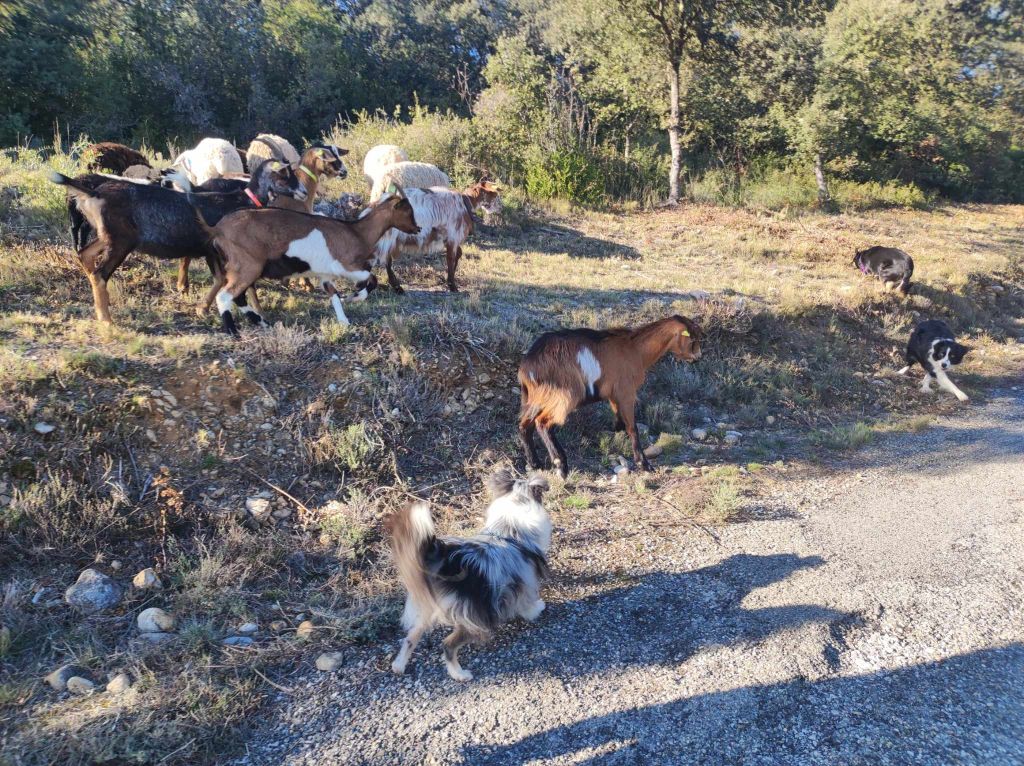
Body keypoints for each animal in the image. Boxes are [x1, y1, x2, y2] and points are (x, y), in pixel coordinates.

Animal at [195, 191, 419, 335]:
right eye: (408, 212)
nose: (418, 228)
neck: (357, 232)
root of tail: (218, 228)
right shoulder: (346, 266)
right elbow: (371, 279)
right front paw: (354, 297)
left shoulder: (326, 275)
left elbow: (333, 296)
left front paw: (344, 321)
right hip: (247, 266)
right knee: (226, 295)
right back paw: (232, 331)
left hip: (241, 267)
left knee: (238, 296)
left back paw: (261, 322)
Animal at [520, 313, 704, 475]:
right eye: (693, 340)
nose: (698, 358)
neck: (636, 349)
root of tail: (528, 365)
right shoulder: (626, 392)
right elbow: (632, 427)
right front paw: (643, 464)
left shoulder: (613, 396)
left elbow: (620, 423)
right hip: (565, 395)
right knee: (543, 423)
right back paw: (560, 465)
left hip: (538, 398)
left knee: (524, 425)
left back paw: (534, 463)